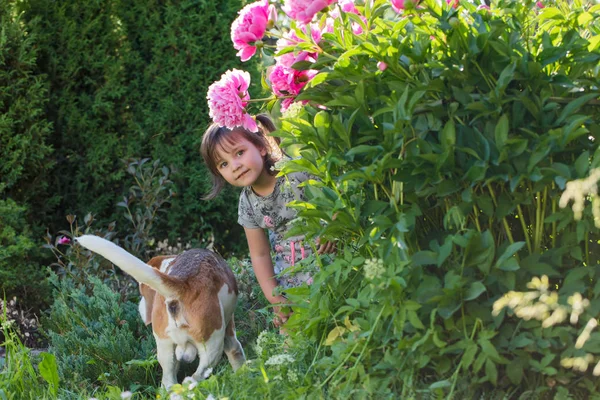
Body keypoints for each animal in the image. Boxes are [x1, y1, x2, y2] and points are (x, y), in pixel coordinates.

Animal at [76, 234, 245, 388]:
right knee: (196, 376)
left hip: (165, 347)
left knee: (169, 381)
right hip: (212, 346)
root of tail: (183, 284)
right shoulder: (228, 330)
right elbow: (236, 351)